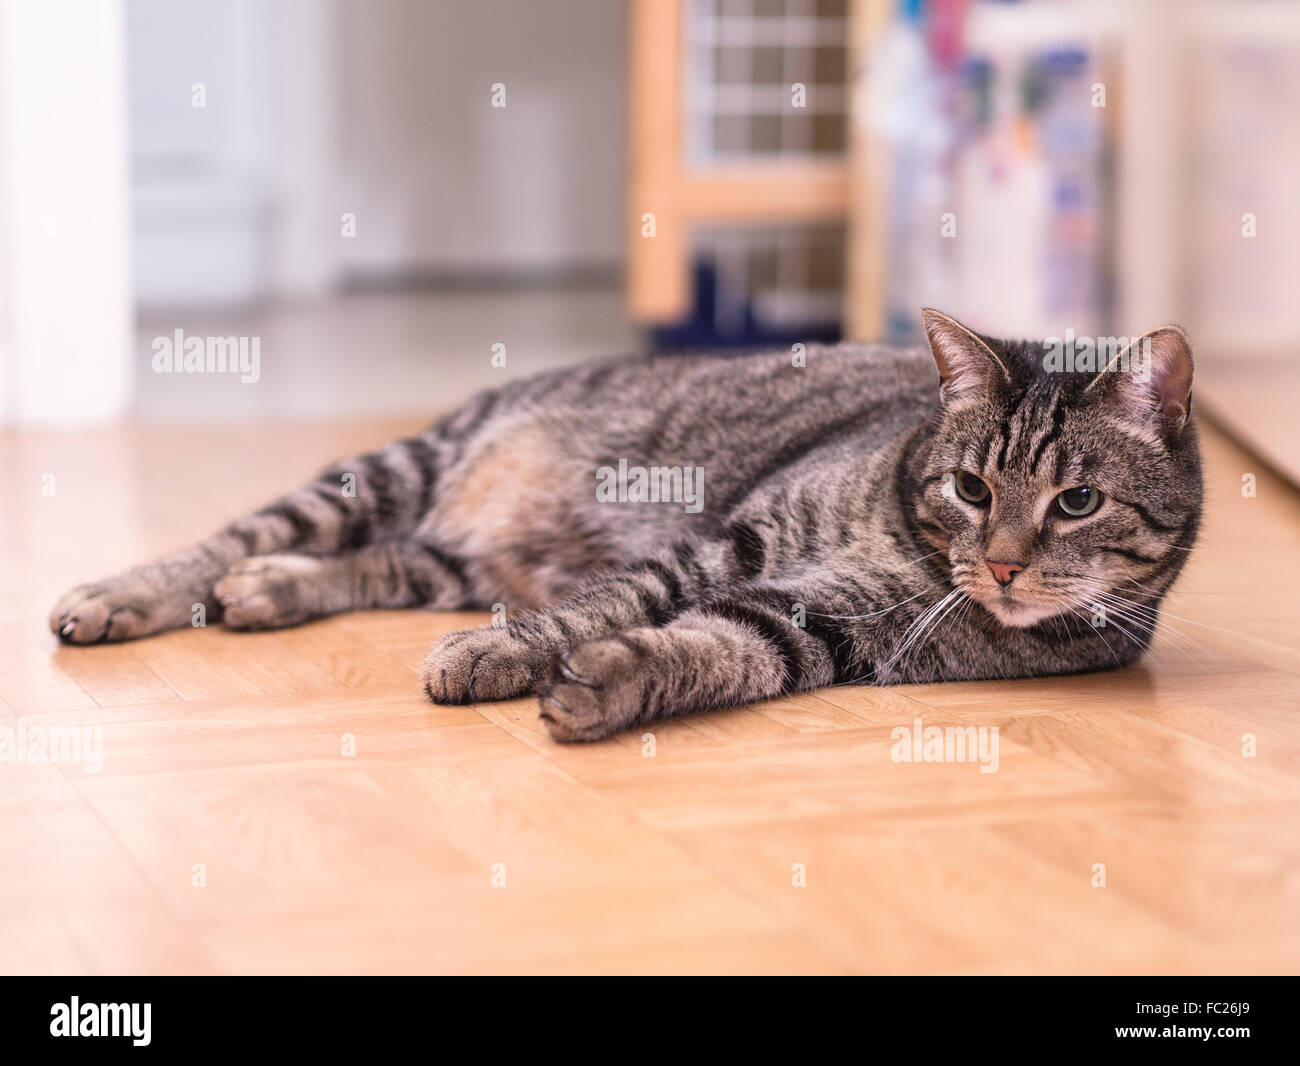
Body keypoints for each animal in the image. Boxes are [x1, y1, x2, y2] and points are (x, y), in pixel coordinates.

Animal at [55, 310, 1201, 743]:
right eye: (970, 488)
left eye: (1076, 503)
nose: (999, 566)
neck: (911, 557)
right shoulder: (724, 545)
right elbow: (607, 603)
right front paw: (505, 655)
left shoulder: (818, 628)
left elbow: (715, 650)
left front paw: (610, 683)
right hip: (387, 473)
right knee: (233, 538)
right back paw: (119, 594)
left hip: (449, 559)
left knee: (370, 564)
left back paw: (273, 590)